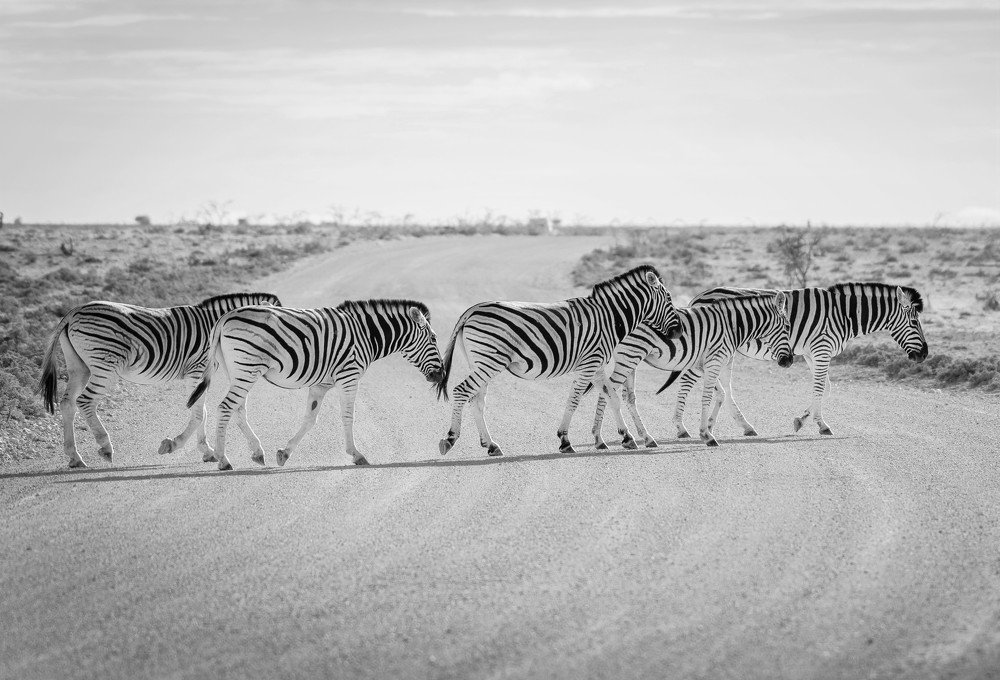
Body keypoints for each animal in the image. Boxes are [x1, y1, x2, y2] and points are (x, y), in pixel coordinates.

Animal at [38, 292, 281, 468]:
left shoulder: (199, 374)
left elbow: (201, 411)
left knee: (68, 403)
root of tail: (73, 312)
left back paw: (74, 457)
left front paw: (207, 452)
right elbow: (199, 412)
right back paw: (105, 447)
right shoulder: (197, 369)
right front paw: (175, 445)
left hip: (79, 366)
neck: (217, 325)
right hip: (104, 365)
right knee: (85, 401)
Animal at [186, 299, 445, 471]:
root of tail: (224, 318)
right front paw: (356, 455)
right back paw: (223, 460)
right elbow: (348, 417)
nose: (441, 375)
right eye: (433, 338)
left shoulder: (321, 384)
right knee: (225, 408)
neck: (366, 334)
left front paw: (284, 453)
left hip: (238, 371)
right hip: (247, 369)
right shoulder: (348, 377)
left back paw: (257, 453)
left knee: (238, 410)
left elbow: (310, 419)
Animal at [436, 264, 683, 457]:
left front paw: (627, 438)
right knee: (461, 390)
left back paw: (491, 445)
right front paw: (565, 440)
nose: (679, 331)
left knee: (476, 400)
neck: (609, 318)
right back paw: (450, 438)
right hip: (490, 361)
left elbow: (612, 397)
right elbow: (574, 400)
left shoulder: (597, 366)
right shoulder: (589, 363)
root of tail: (471, 310)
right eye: (669, 299)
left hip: (480, 362)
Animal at [591, 292, 793, 448]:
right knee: (607, 392)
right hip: (630, 356)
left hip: (630, 359)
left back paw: (645, 438)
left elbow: (720, 394)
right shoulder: (714, 361)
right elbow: (707, 396)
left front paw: (709, 428)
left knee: (627, 397)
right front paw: (706, 435)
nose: (789, 361)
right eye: (787, 326)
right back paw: (603, 438)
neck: (732, 326)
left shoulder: (703, 364)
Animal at [664, 283, 927, 437]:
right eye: (915, 322)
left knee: (723, 388)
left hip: (723, 351)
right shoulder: (821, 349)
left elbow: (825, 387)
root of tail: (697, 297)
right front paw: (817, 424)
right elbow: (820, 388)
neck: (844, 314)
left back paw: (729, 426)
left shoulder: (813, 353)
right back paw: (681, 427)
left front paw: (806, 420)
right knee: (690, 381)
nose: (925, 354)